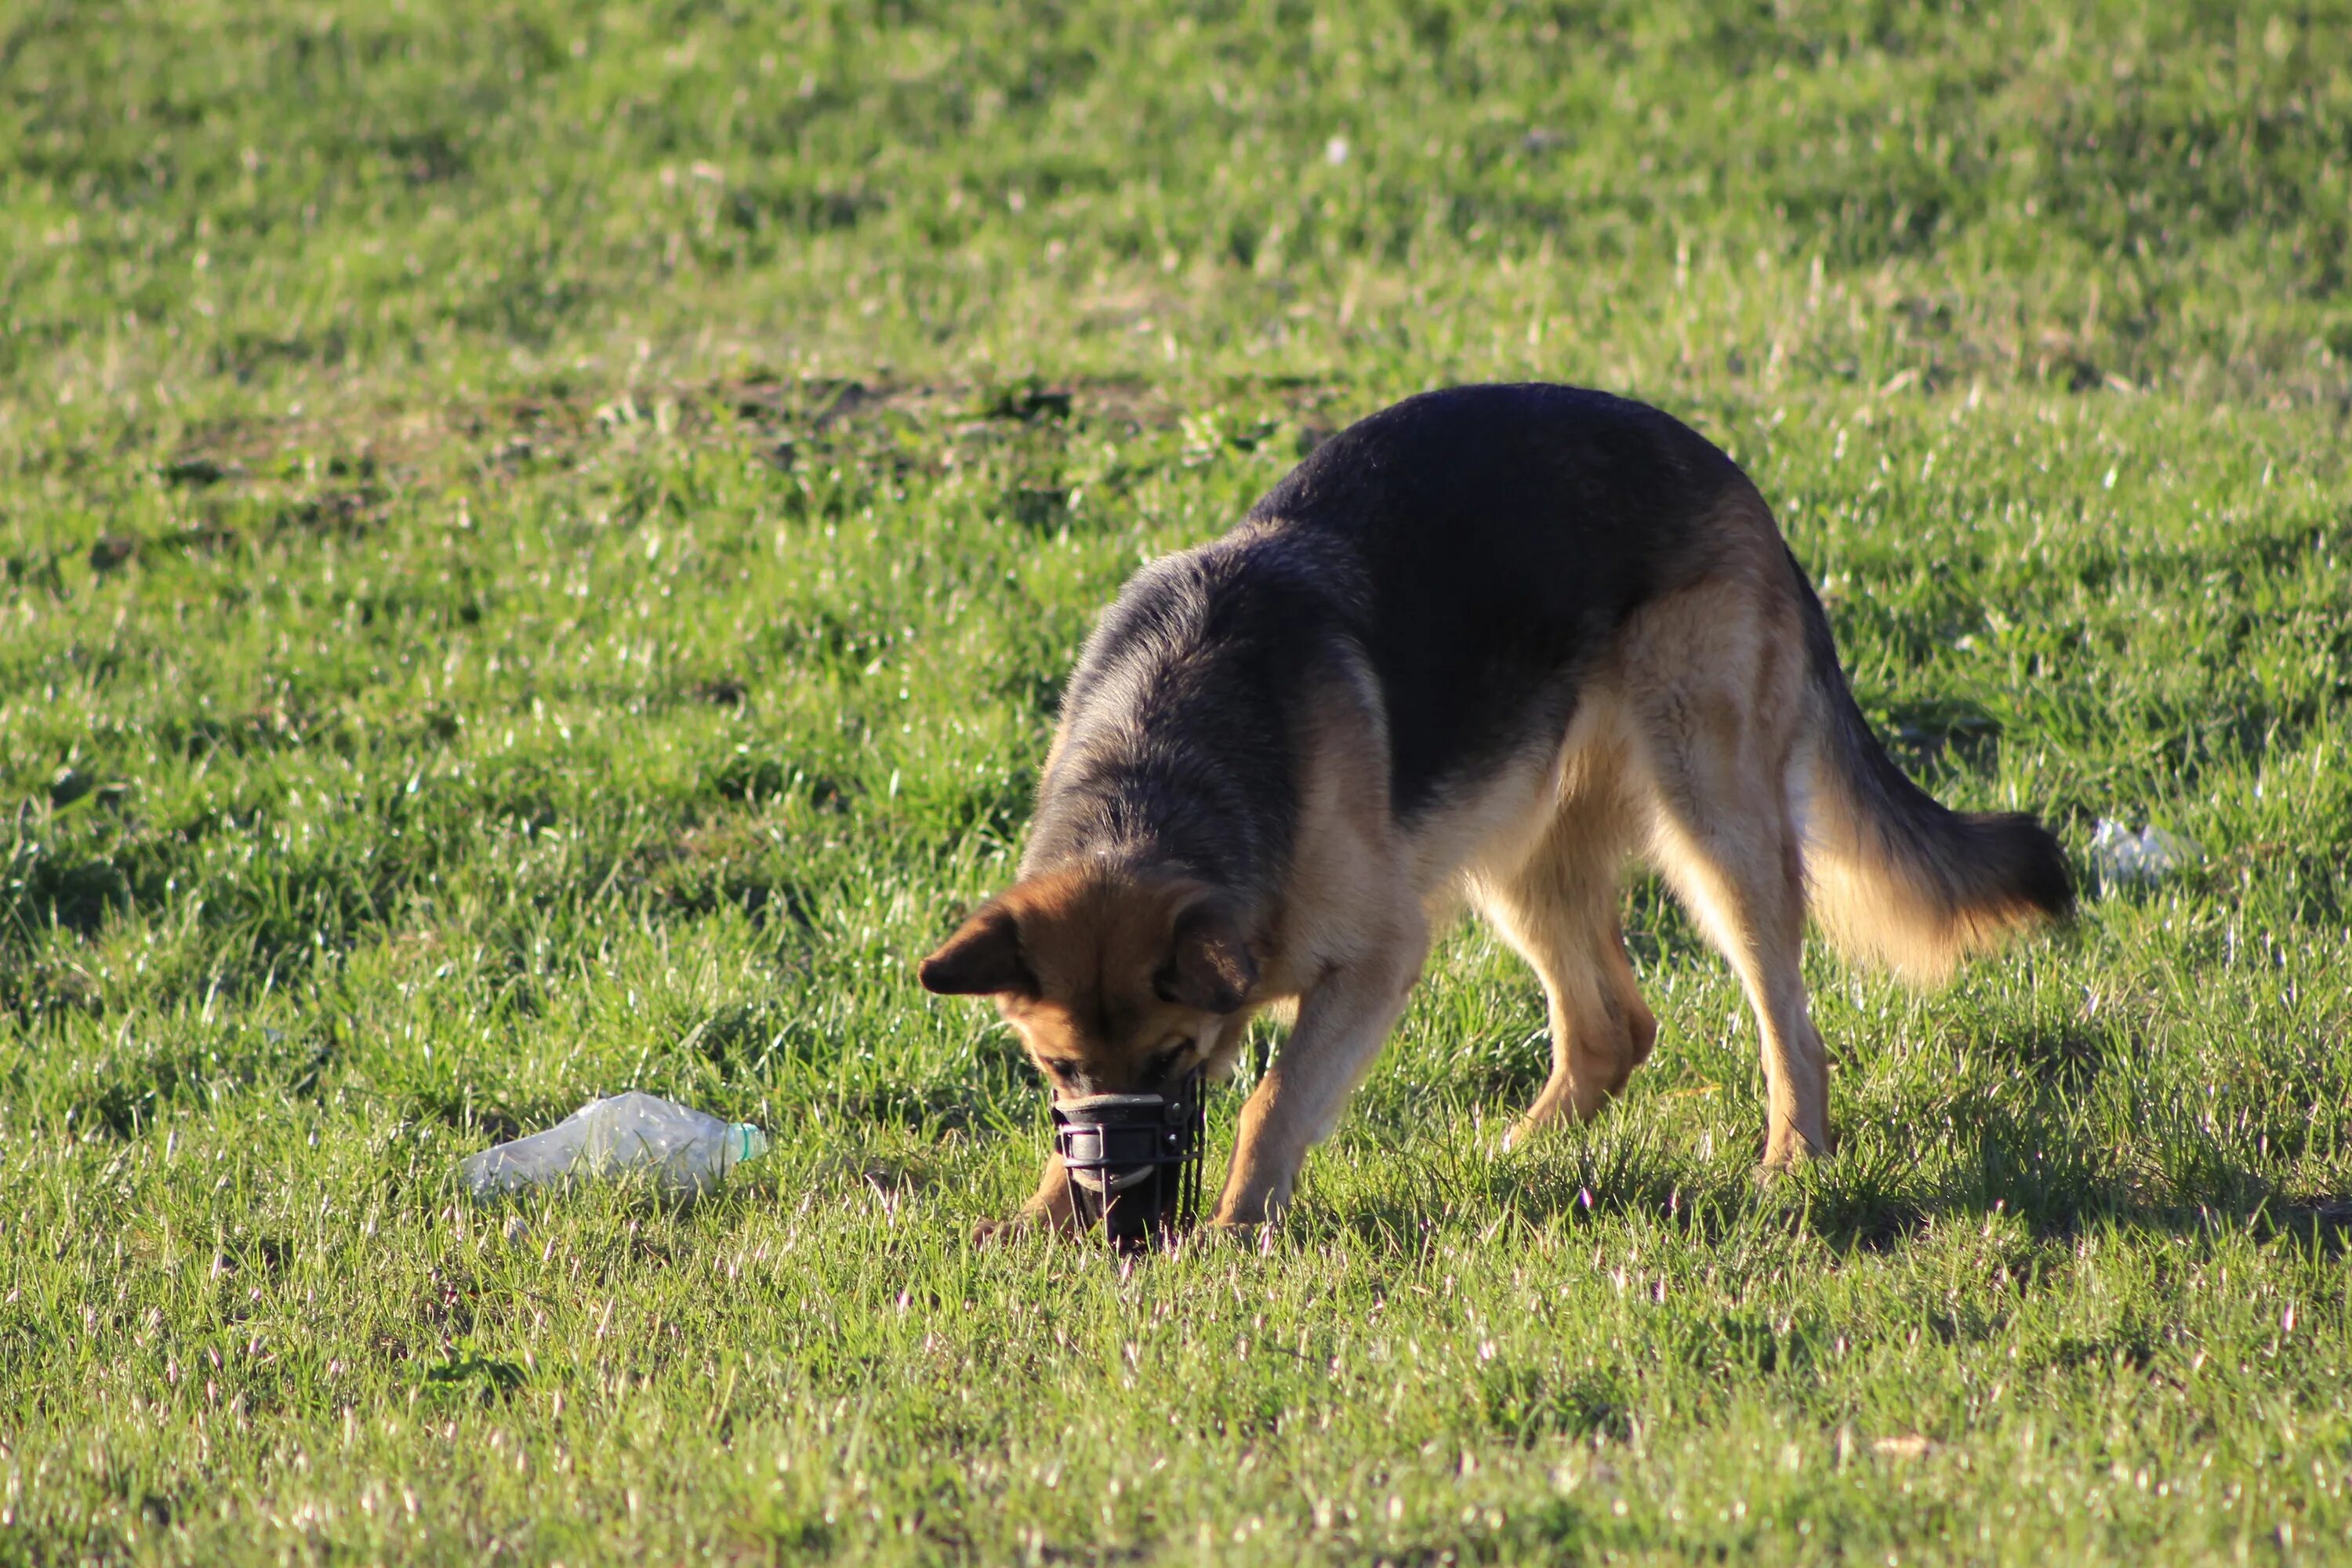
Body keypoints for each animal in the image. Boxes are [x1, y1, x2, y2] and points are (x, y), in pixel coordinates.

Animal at [917, 383, 2060, 1241]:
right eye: (1058, 1066)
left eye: (1173, 1059)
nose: (1119, 1211)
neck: (1156, 774)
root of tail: (1729, 475)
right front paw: (1043, 1217)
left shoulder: (1377, 956)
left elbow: (1272, 1102)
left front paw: (1236, 1228)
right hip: (1515, 852)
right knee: (1611, 1028)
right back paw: (1524, 1155)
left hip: (1713, 827)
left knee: (1788, 1024)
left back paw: (1790, 1161)